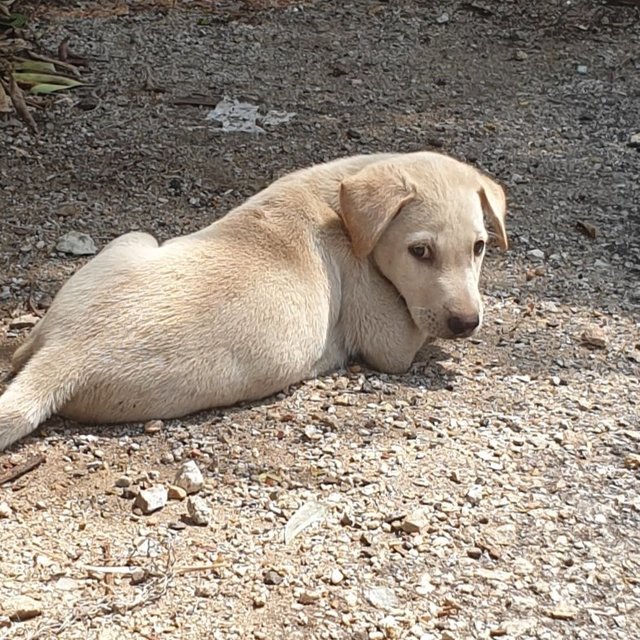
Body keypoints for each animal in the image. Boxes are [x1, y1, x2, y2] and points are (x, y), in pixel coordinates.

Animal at [0, 152, 508, 450]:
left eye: (480, 247)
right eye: (419, 252)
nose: (467, 322)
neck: (339, 204)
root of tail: (65, 355)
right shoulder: (391, 340)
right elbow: (417, 330)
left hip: (126, 246)